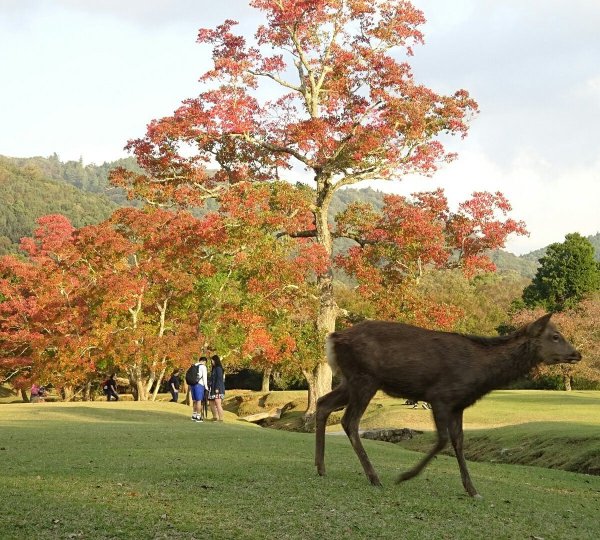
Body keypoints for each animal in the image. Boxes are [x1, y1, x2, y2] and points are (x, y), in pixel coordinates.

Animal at [314, 312, 580, 498]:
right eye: (555, 336)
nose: (577, 354)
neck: (481, 376)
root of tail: (332, 338)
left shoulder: (458, 405)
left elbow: (459, 443)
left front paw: (472, 490)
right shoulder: (440, 397)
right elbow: (442, 440)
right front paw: (405, 476)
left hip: (351, 380)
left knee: (322, 402)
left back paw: (321, 467)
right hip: (365, 378)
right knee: (350, 420)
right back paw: (374, 477)